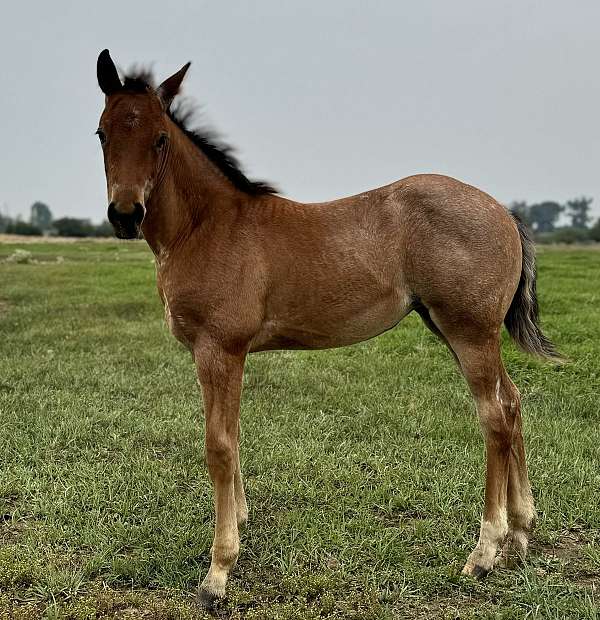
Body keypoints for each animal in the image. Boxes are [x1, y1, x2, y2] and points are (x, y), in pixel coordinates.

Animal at [94, 50, 556, 608]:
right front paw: (240, 523)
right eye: (101, 132)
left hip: (470, 333)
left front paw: (219, 571)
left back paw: (485, 552)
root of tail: (504, 213)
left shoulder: (219, 349)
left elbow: (218, 445)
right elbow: (233, 435)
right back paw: (521, 536)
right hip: (462, 333)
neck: (205, 227)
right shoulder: (217, 354)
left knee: (494, 418)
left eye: (160, 138)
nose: (125, 213)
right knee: (513, 404)